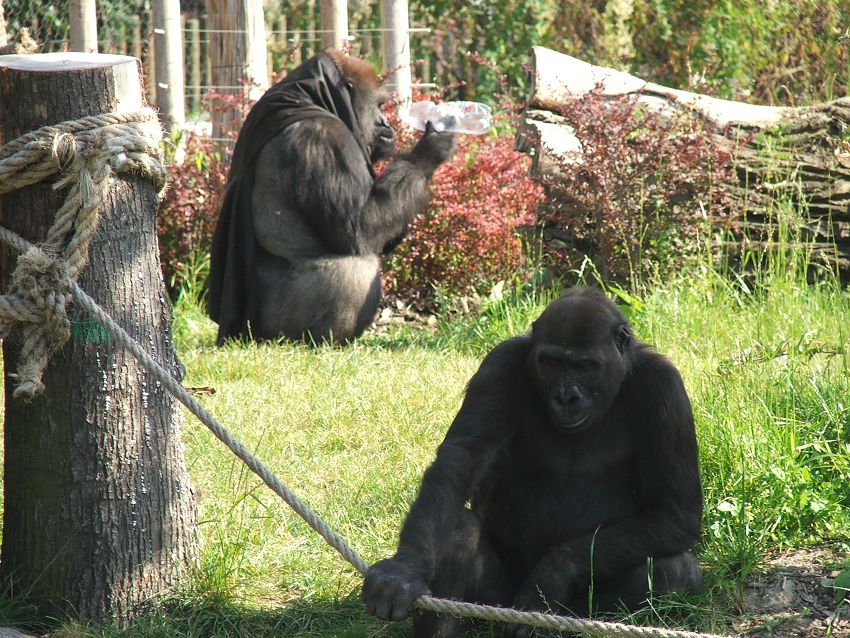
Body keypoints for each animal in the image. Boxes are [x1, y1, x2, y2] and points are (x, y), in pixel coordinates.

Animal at [206, 51, 458, 344]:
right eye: (378, 106)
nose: (385, 123)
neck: (311, 99)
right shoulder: (324, 137)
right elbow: (361, 226)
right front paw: (428, 153)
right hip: (267, 329)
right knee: (356, 267)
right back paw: (321, 339)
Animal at [362, 288, 700, 636]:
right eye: (551, 363)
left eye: (584, 366)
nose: (566, 398)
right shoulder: (501, 363)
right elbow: (461, 461)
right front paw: (404, 570)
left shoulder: (666, 389)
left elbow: (674, 512)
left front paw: (552, 576)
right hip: (496, 604)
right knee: (458, 532)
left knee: (676, 571)